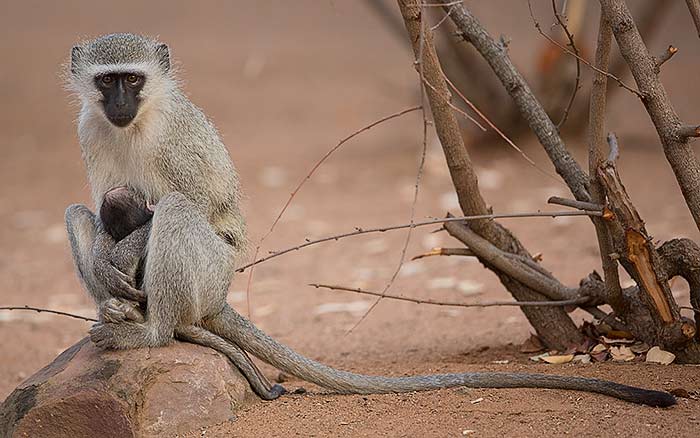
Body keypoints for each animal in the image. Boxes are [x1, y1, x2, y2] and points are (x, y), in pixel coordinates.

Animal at [63, 33, 675, 407]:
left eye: (133, 80)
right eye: (106, 81)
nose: (119, 103)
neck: (136, 123)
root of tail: (220, 297)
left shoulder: (180, 138)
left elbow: (199, 204)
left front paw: (124, 253)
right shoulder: (90, 129)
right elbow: (100, 207)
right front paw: (110, 262)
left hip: (210, 274)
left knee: (177, 212)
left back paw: (154, 331)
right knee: (77, 213)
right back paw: (122, 310)